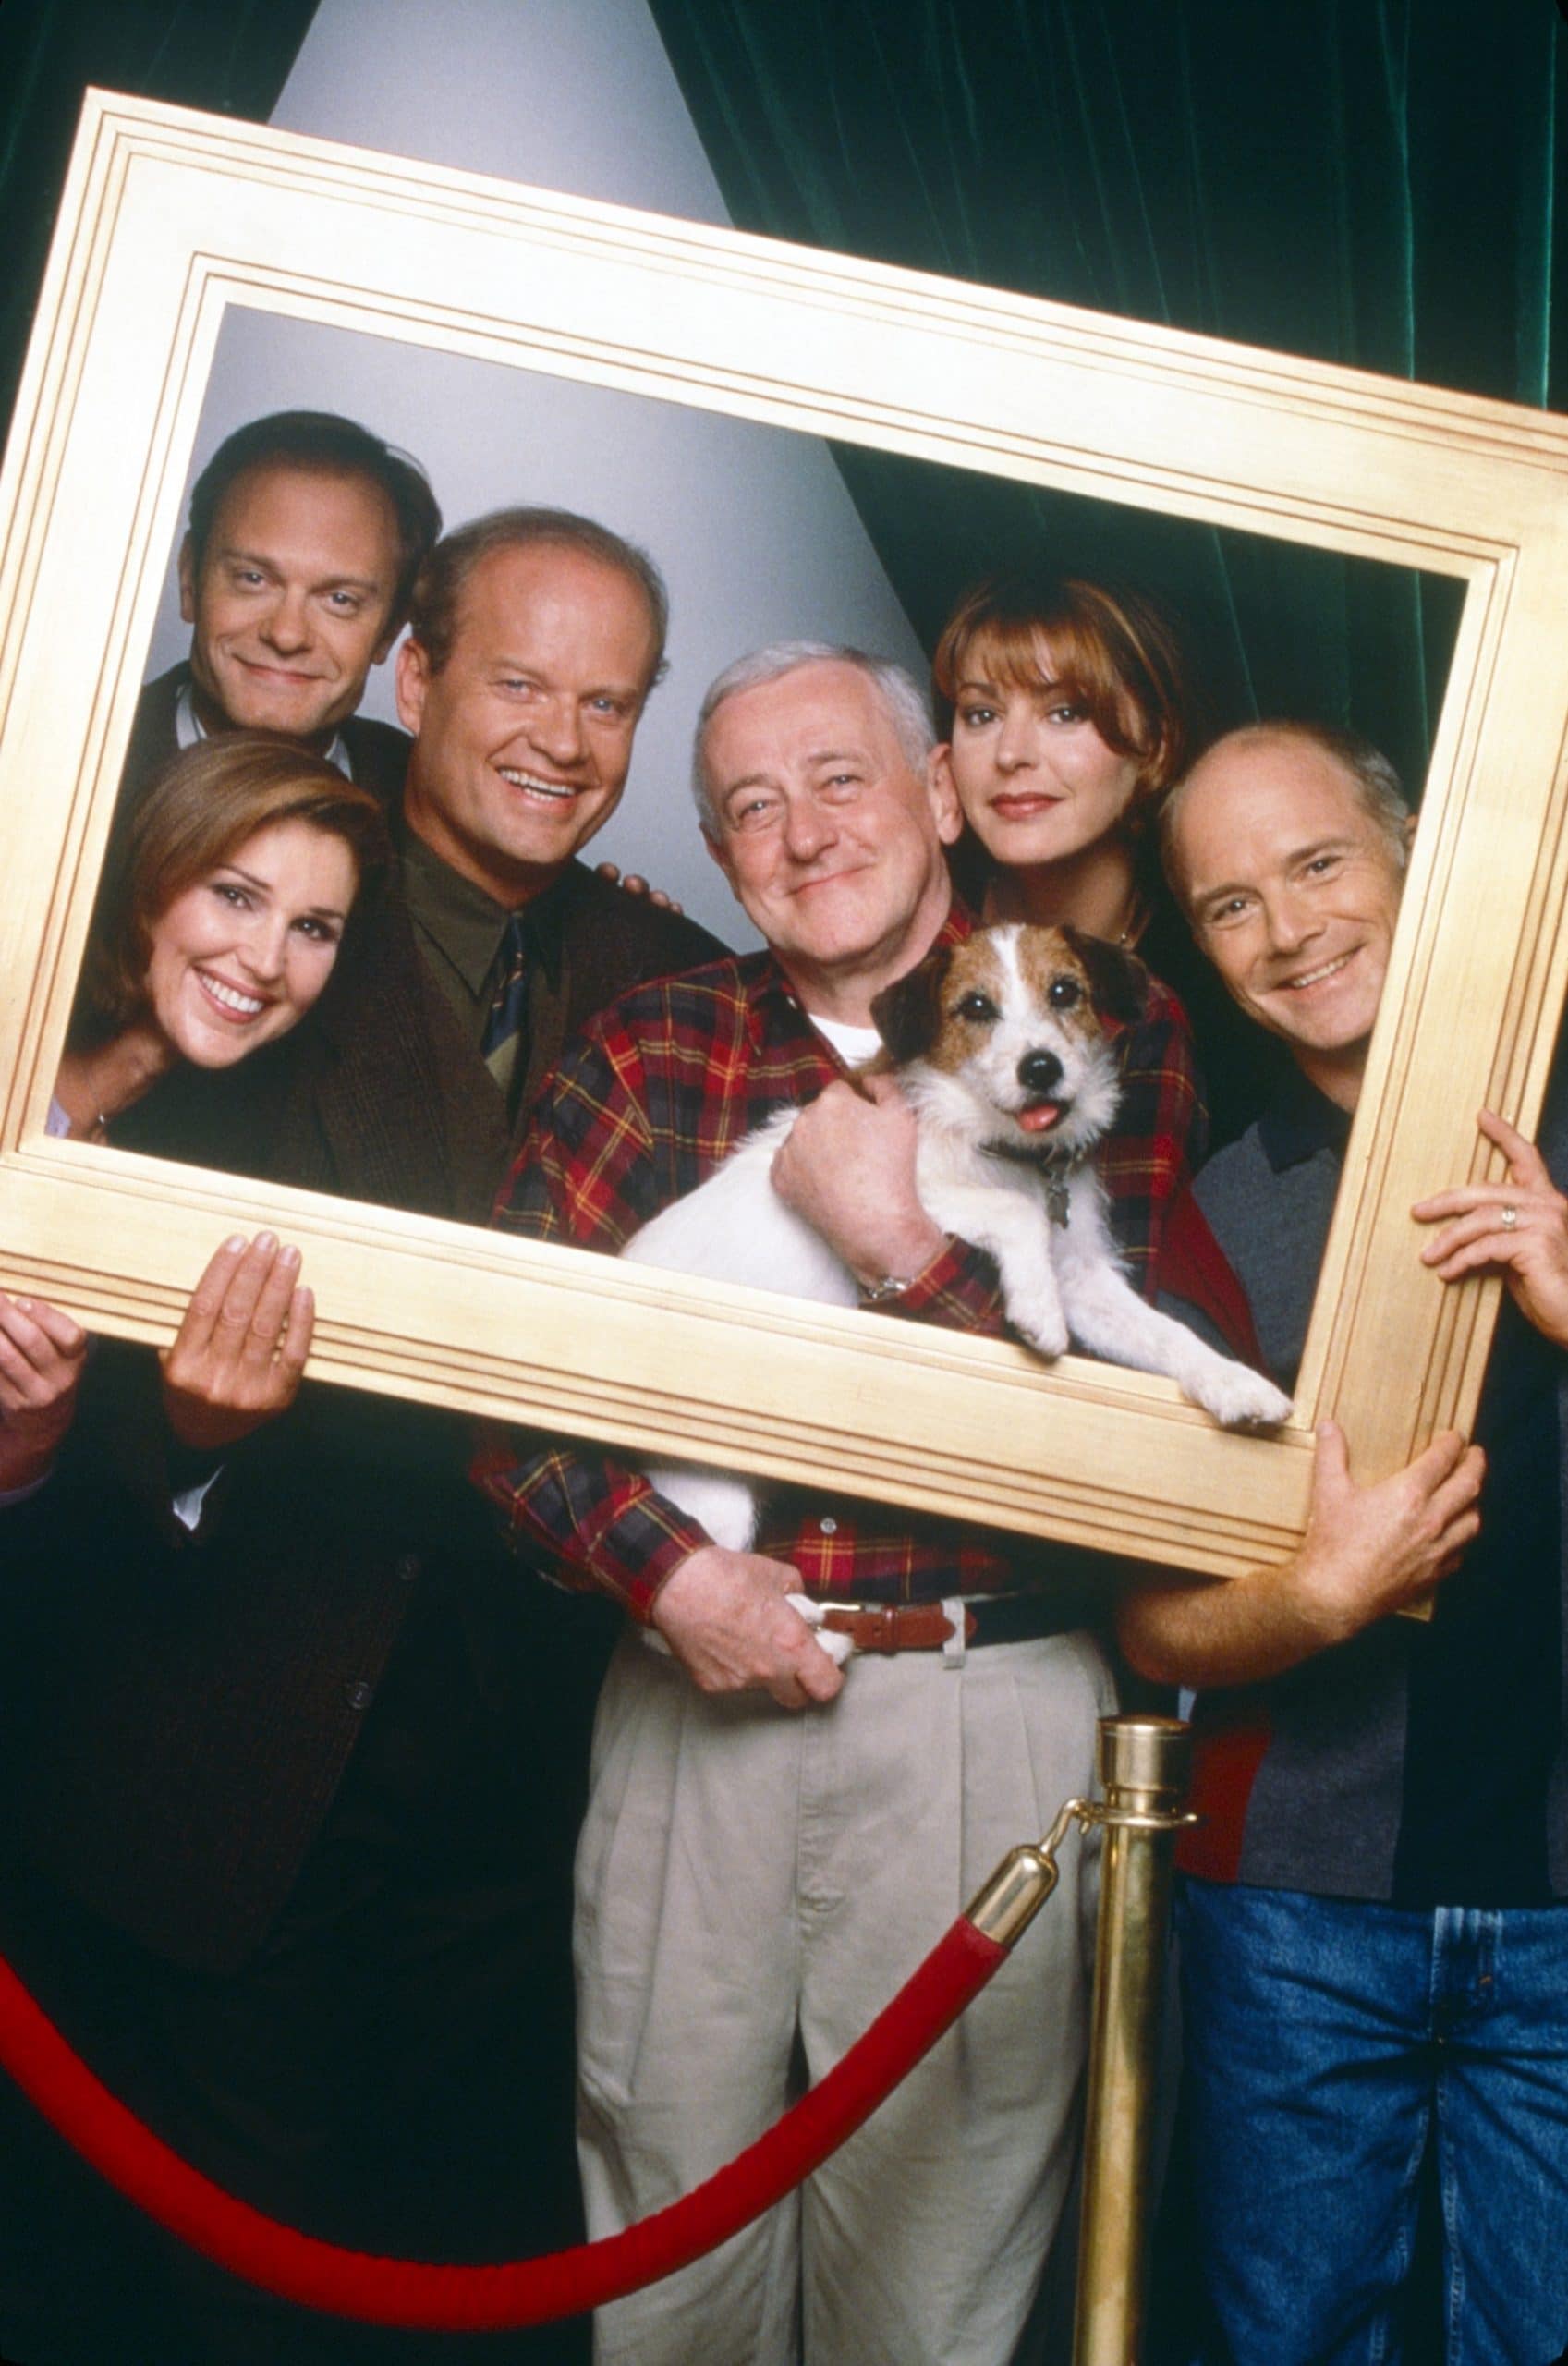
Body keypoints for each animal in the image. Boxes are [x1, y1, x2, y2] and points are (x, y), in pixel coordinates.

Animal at [619, 913, 1295, 1561]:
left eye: (1064, 992)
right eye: (975, 1007)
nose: (1040, 1068)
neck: (1009, 1151)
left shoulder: (1082, 1278)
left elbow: (1165, 1334)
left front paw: (1234, 1383)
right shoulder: (905, 1188)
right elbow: (1014, 1214)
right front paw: (1037, 1313)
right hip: (712, 1498)